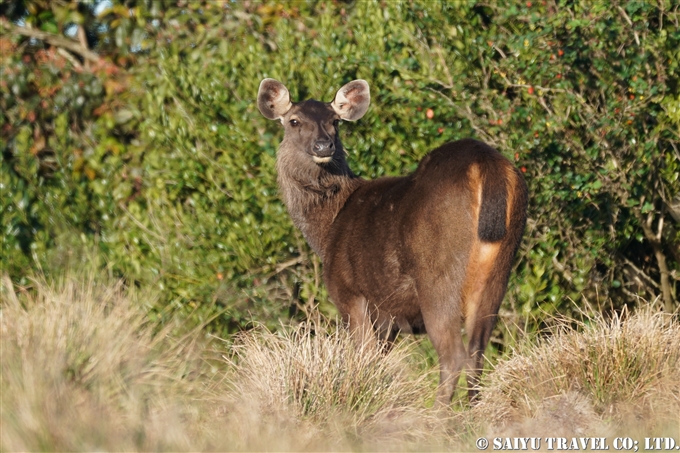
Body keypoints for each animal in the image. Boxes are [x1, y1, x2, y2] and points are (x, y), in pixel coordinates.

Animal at [258, 76, 528, 404]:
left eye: (335, 121)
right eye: (294, 121)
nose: (324, 145)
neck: (327, 228)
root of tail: (485, 161)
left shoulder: (350, 293)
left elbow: (363, 358)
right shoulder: (388, 317)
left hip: (437, 275)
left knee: (453, 355)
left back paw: (437, 414)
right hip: (499, 271)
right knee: (478, 353)